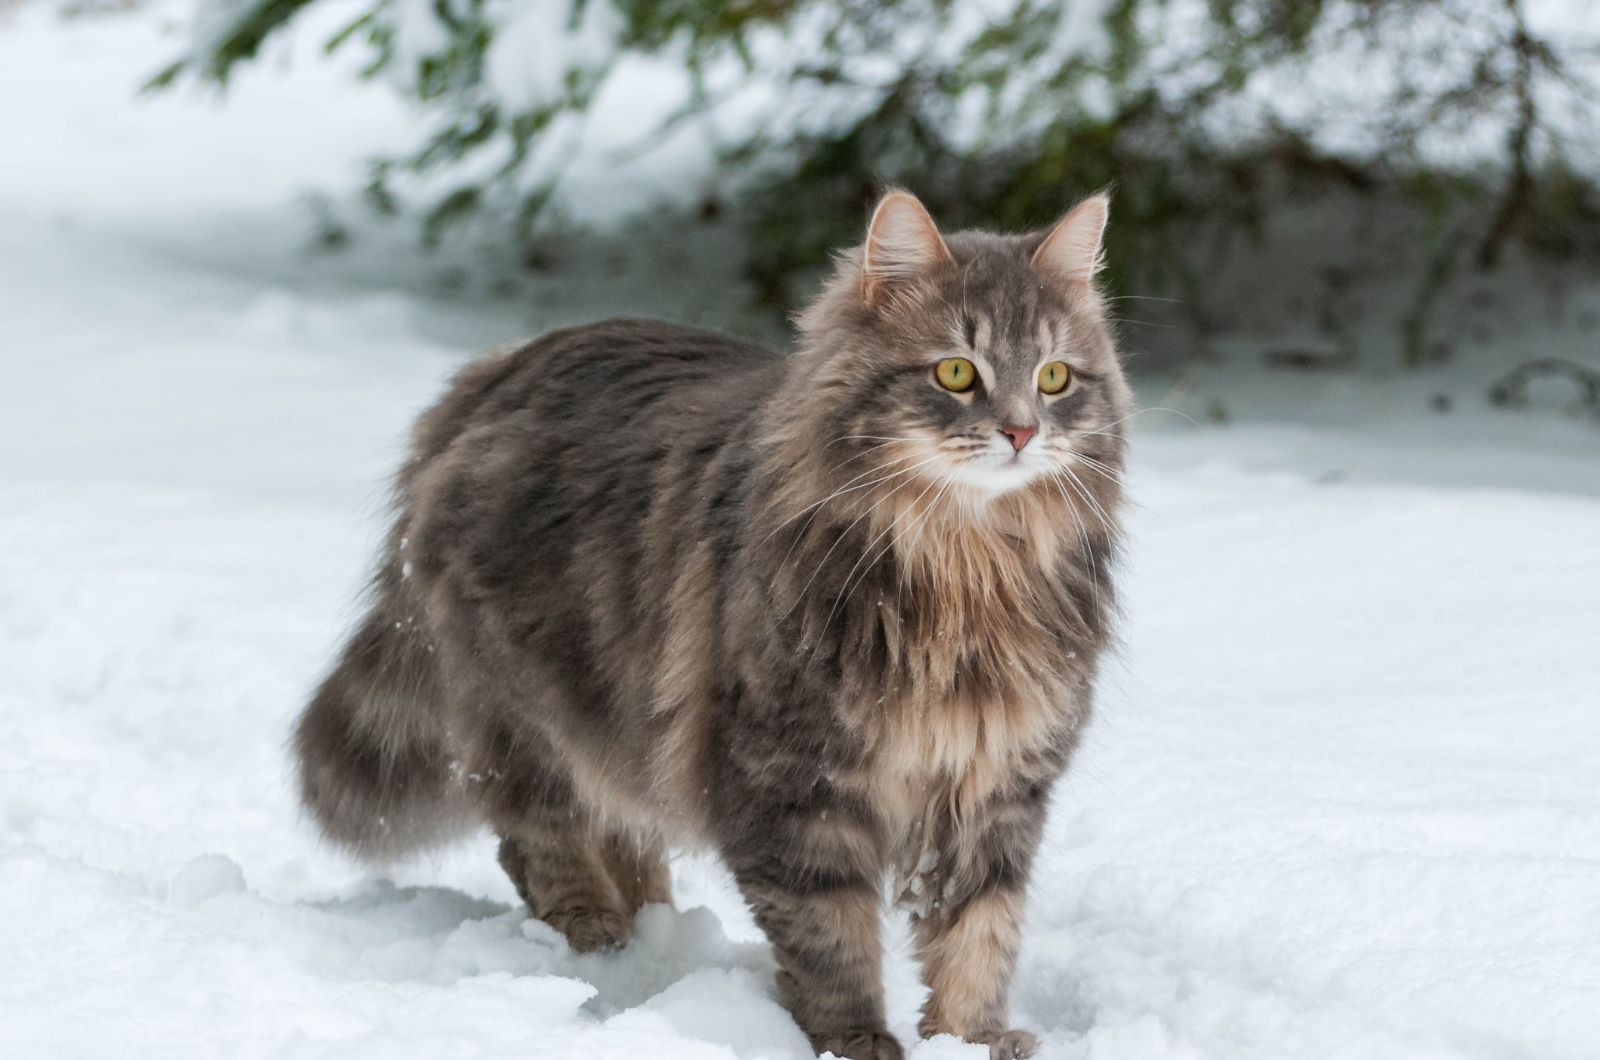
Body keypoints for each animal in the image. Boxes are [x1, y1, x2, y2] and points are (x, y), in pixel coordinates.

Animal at [297, 191, 1126, 1060]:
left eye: (1055, 378)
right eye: (957, 373)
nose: (1023, 431)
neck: (966, 569)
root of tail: (488, 376)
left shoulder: (996, 785)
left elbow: (979, 930)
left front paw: (971, 1039)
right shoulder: (792, 789)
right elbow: (831, 938)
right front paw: (857, 1039)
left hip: (620, 719)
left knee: (624, 829)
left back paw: (651, 929)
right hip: (529, 710)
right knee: (541, 834)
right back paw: (598, 935)